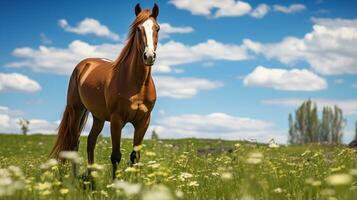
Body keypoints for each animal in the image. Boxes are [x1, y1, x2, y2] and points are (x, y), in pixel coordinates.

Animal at [50, 3, 159, 179]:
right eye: (138, 29)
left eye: (157, 28)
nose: (149, 56)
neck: (138, 85)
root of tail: (84, 64)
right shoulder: (116, 120)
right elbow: (116, 156)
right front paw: (115, 183)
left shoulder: (143, 122)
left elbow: (135, 156)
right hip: (76, 111)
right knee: (74, 143)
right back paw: (74, 178)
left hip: (98, 117)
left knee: (90, 141)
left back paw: (91, 175)